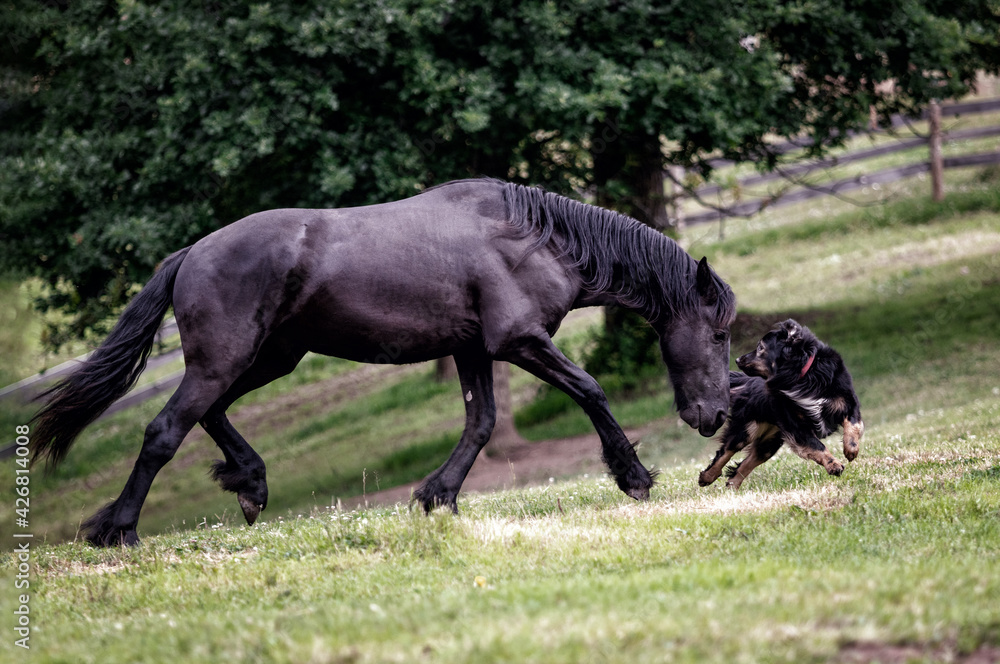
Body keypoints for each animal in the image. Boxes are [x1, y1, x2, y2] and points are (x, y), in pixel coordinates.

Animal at [33, 179, 736, 548]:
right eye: (721, 332)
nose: (715, 415)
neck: (535, 240)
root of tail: (192, 253)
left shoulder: (472, 350)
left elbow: (480, 425)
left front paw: (437, 497)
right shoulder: (517, 341)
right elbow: (591, 390)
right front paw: (634, 476)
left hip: (268, 357)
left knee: (211, 414)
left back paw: (251, 485)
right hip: (227, 358)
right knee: (165, 430)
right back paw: (119, 530)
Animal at [700, 320, 864, 490]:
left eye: (760, 347)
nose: (738, 359)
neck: (802, 375)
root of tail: (749, 384)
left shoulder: (847, 403)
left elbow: (853, 426)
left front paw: (851, 450)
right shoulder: (796, 426)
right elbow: (817, 446)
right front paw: (834, 465)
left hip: (770, 440)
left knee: (745, 464)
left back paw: (732, 489)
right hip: (748, 429)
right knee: (725, 451)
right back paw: (707, 477)